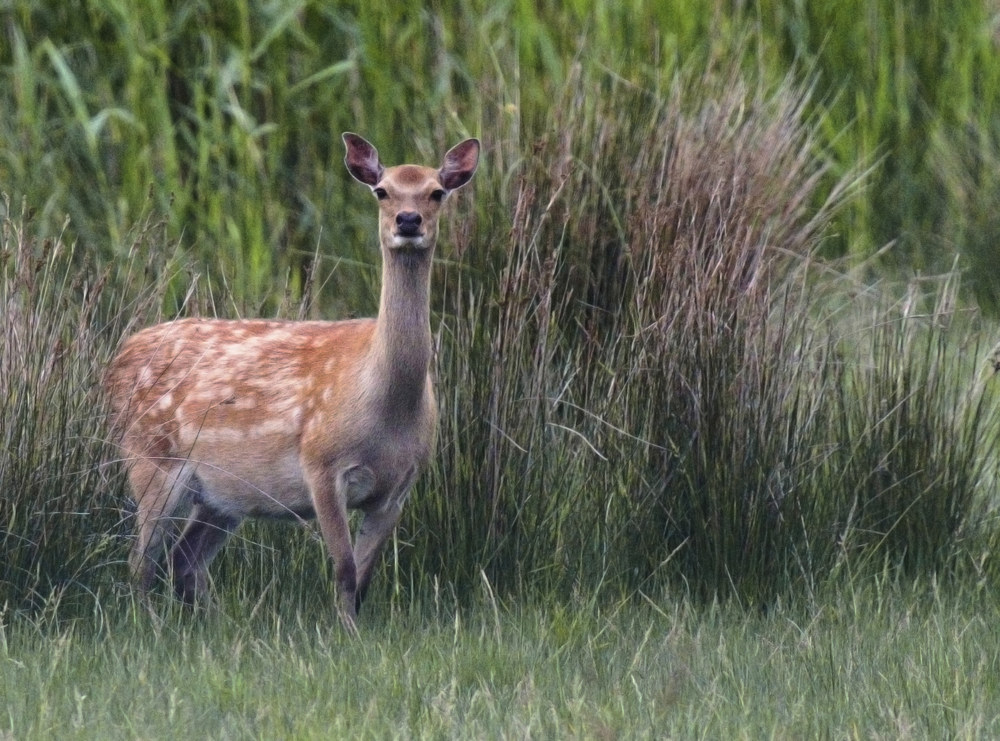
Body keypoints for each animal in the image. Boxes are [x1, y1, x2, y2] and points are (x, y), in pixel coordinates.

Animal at [105, 133, 480, 631]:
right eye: (382, 191)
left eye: (437, 192)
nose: (408, 220)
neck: (384, 405)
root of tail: (116, 360)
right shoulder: (322, 463)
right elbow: (344, 568)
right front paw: (346, 635)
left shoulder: (399, 487)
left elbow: (364, 576)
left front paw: (355, 628)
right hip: (150, 457)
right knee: (142, 560)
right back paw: (150, 625)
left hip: (222, 495)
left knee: (183, 559)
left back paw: (218, 625)